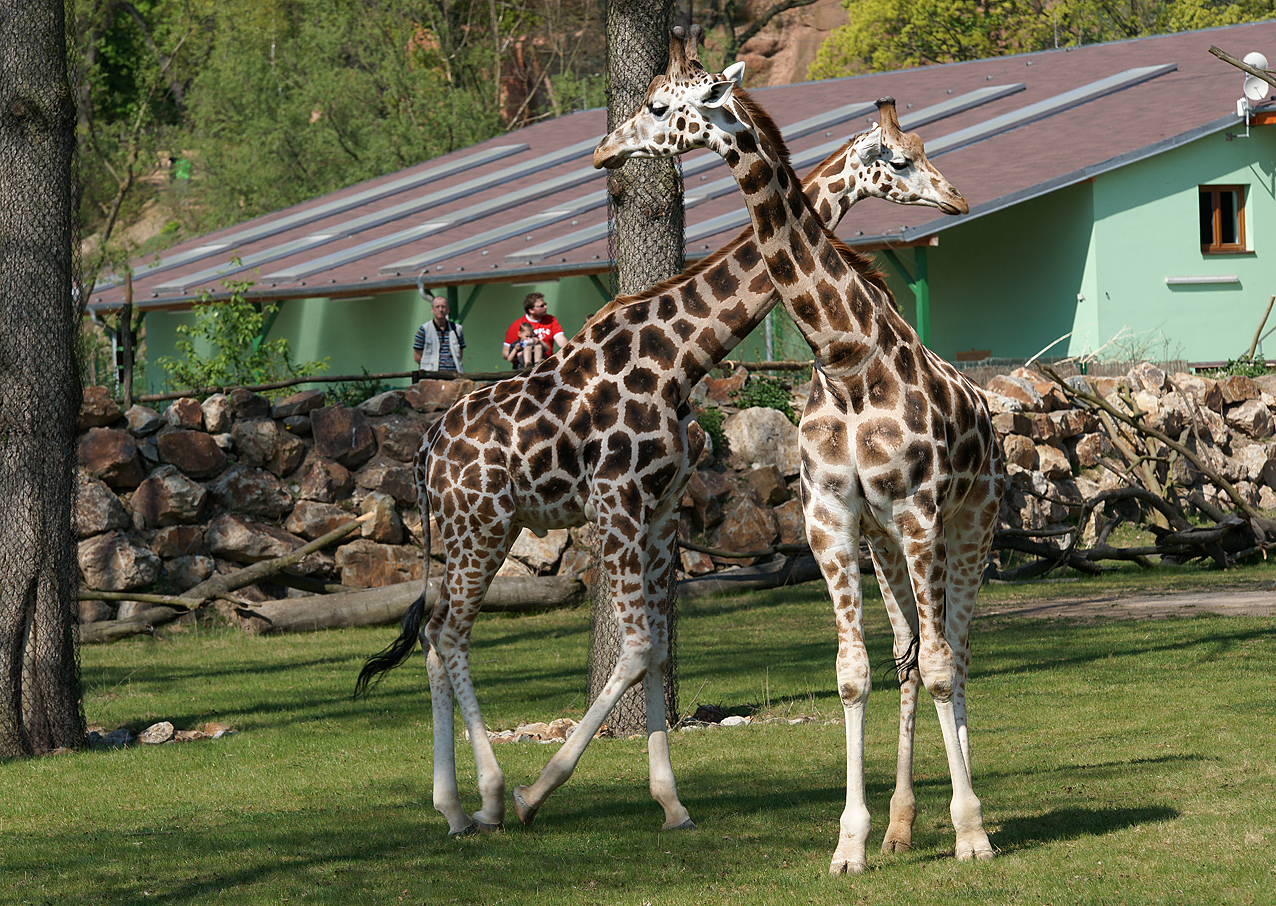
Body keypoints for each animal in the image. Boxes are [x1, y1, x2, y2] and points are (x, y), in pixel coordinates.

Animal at [359, 69, 964, 842]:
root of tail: (426, 452)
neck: (679, 358)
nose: (955, 200)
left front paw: (671, 802)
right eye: (900, 160)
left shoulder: (660, 510)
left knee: (437, 636)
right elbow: (642, 645)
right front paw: (536, 792)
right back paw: (488, 796)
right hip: (479, 526)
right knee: (449, 634)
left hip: (484, 530)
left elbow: (657, 647)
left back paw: (459, 808)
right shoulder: (616, 502)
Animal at [597, 31, 1005, 877]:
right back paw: (902, 826)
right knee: (911, 650)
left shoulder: (919, 513)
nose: (604, 151)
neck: (845, 359)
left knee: (956, 651)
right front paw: (853, 842)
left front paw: (972, 833)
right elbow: (855, 675)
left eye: (658, 105)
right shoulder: (830, 520)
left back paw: (965, 819)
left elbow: (943, 665)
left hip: (968, 528)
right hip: (885, 544)